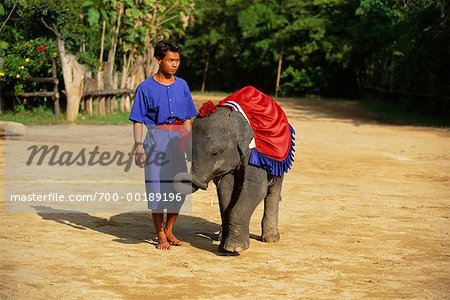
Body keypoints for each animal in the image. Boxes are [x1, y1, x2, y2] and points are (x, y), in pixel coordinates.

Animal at [174, 86, 294, 253]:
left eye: (214, 153)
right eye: (187, 154)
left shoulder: (253, 152)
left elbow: (256, 189)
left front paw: (234, 248)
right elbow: (225, 189)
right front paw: (223, 247)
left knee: (272, 192)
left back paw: (270, 239)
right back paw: (220, 237)